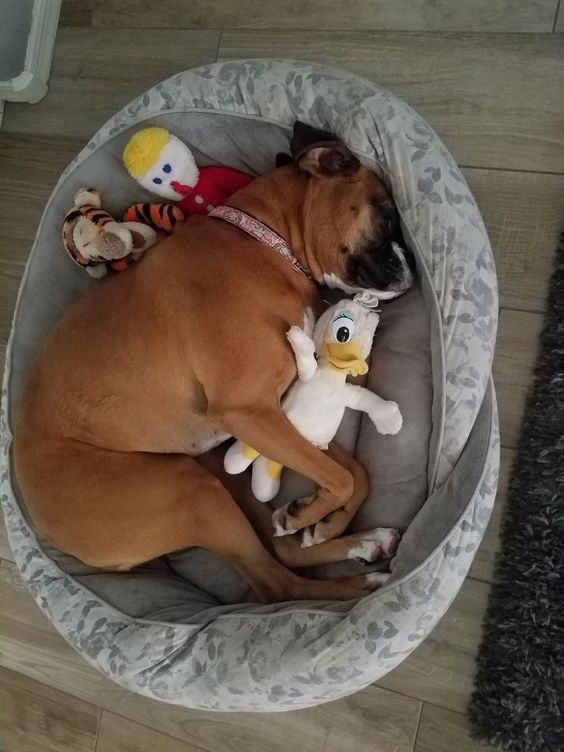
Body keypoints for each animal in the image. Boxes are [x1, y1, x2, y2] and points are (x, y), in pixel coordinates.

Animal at [12, 123, 410, 604]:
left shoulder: (274, 409)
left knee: (283, 553)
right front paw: (309, 516)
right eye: (386, 215)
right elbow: (343, 477)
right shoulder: (248, 408)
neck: (263, 242)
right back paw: (360, 581)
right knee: (277, 585)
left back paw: (362, 542)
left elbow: (356, 473)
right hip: (192, 489)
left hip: (215, 467)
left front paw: (319, 520)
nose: (413, 267)